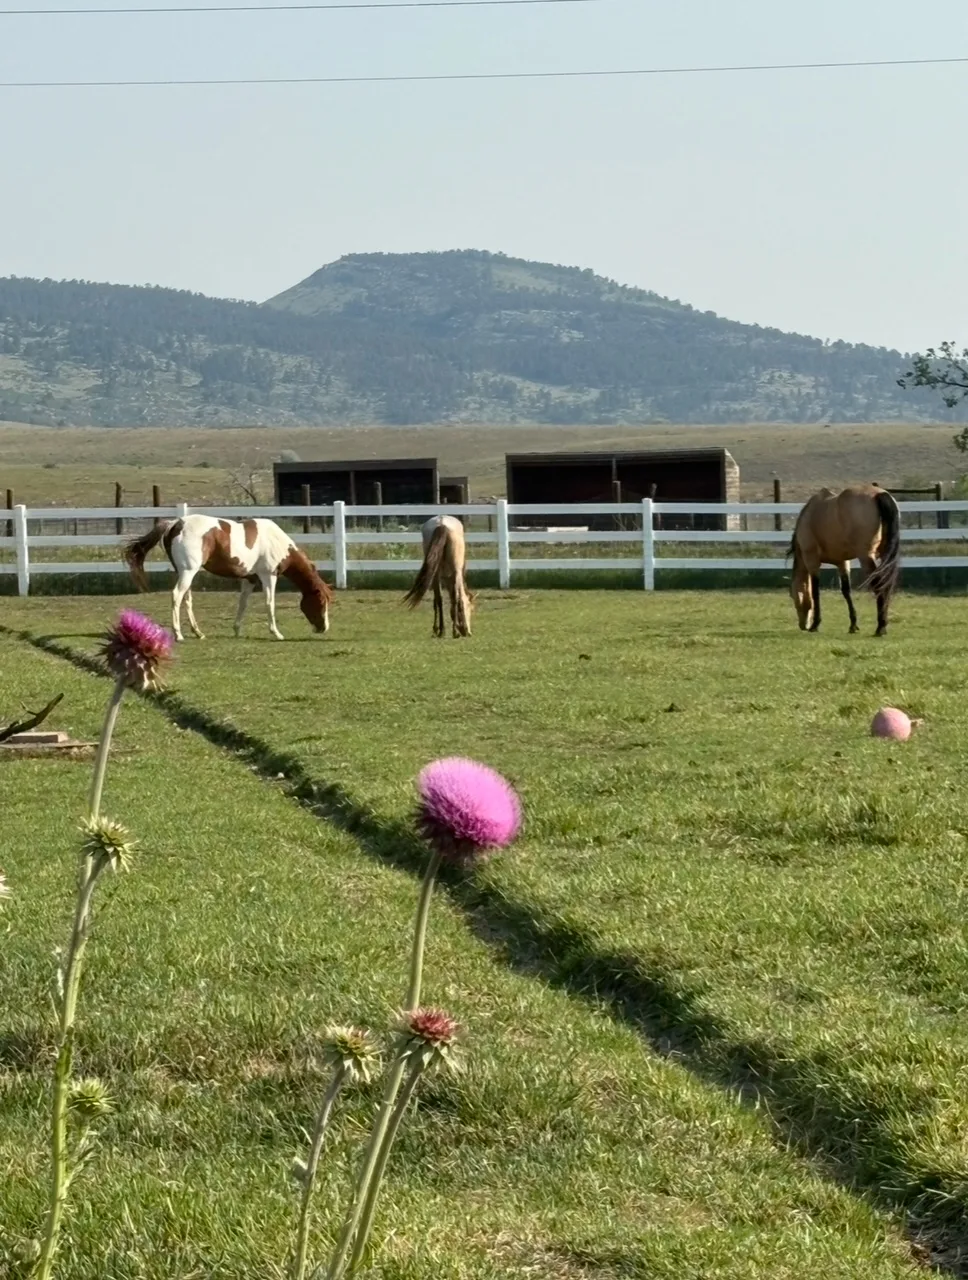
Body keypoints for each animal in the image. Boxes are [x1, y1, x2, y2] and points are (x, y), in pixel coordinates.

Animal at [124, 514, 333, 642]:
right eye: (321, 602)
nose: (324, 628)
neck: (276, 541)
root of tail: (176, 523)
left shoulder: (250, 579)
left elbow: (243, 603)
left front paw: (237, 629)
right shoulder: (268, 576)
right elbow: (270, 603)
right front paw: (276, 633)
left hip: (185, 573)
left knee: (187, 599)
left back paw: (198, 632)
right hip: (188, 571)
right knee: (176, 596)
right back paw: (179, 634)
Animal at [789, 484, 901, 636]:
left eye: (794, 599)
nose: (802, 625)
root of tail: (880, 494)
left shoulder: (812, 561)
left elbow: (815, 592)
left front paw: (815, 624)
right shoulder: (842, 562)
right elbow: (846, 591)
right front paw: (853, 625)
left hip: (865, 557)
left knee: (879, 584)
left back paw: (880, 627)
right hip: (884, 555)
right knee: (886, 584)